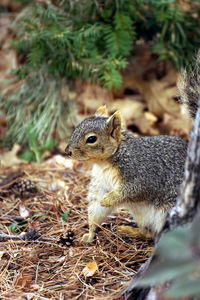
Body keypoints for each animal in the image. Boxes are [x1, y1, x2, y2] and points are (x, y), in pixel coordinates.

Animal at [65, 54, 199, 243]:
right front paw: (89, 234)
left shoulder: (142, 174)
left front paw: (107, 200)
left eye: (91, 139)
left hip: (167, 211)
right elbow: (96, 209)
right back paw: (129, 230)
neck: (106, 162)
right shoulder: (100, 183)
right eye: (76, 127)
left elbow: (133, 190)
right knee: (148, 232)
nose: (67, 151)